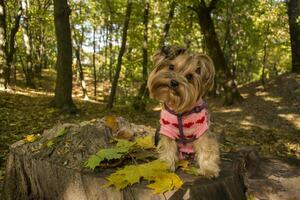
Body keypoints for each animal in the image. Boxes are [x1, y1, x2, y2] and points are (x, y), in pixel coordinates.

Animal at [148, 45, 220, 178]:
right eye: (171, 67)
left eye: (189, 77)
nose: (174, 82)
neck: (180, 111)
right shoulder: (167, 129)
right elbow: (167, 146)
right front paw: (166, 166)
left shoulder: (202, 130)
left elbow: (206, 147)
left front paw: (209, 169)